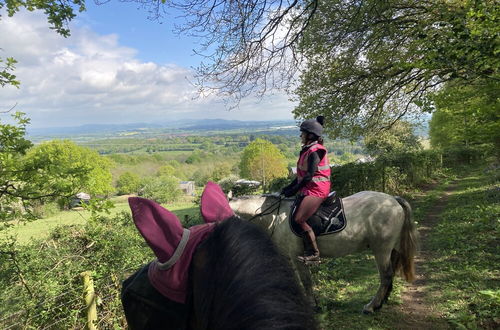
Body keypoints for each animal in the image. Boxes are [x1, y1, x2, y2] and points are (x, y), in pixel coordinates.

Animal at [230, 189, 418, 314]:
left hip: (381, 249)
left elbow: (306, 281)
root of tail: (393, 200)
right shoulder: (285, 256)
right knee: (390, 274)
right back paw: (381, 302)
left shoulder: (296, 256)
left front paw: (312, 305)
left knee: (386, 275)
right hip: (392, 248)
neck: (275, 217)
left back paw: (371, 306)